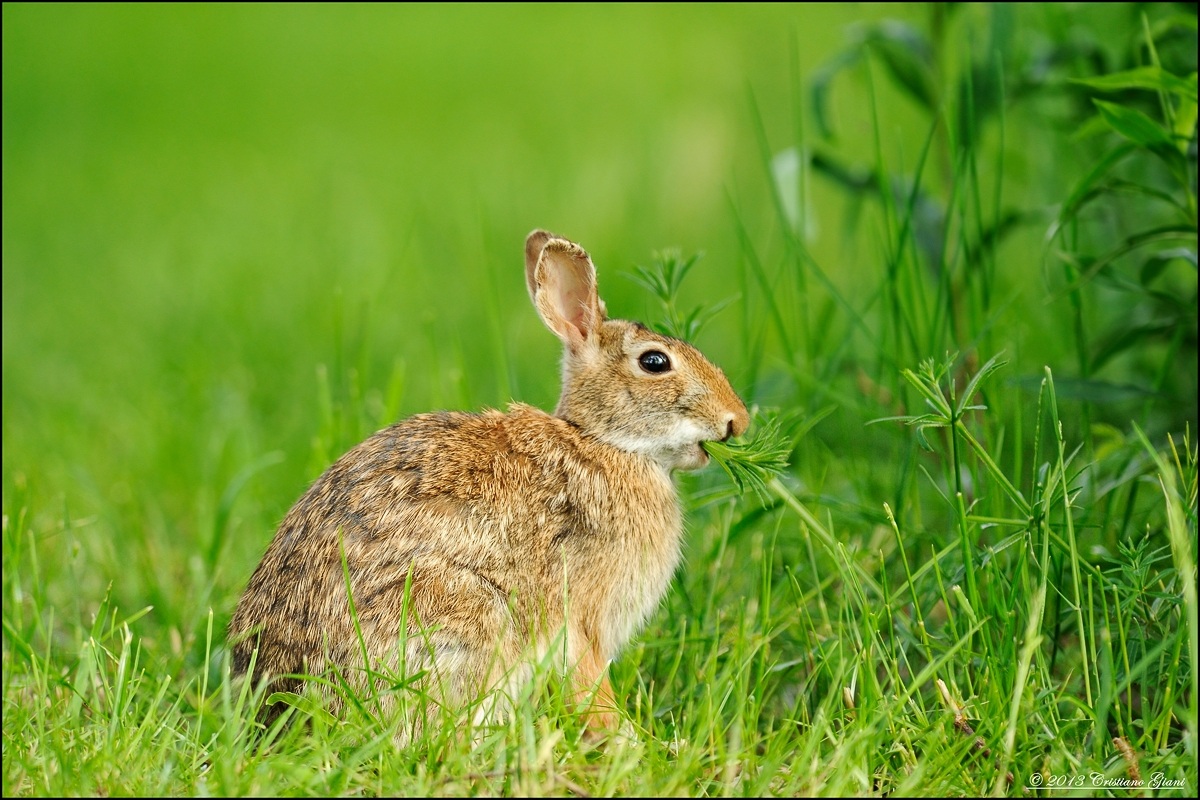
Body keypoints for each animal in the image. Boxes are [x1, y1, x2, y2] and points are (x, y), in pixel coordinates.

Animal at [227, 229, 749, 741]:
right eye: (655, 362)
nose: (737, 420)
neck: (604, 442)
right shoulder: (580, 614)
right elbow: (588, 681)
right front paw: (625, 737)